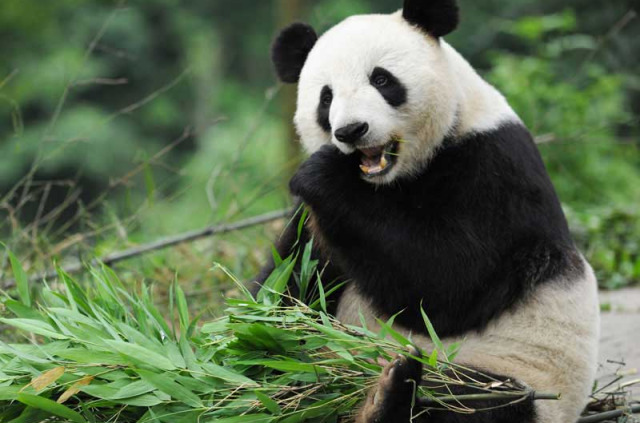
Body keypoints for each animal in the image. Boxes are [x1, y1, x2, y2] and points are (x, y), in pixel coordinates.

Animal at [250, 0, 600, 423]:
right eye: (326, 98)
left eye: (382, 80)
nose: (351, 131)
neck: (390, 182)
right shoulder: (319, 226)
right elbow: (288, 285)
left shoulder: (495, 168)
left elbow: (449, 283)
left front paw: (324, 174)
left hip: (518, 372)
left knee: (475, 399)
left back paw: (386, 392)